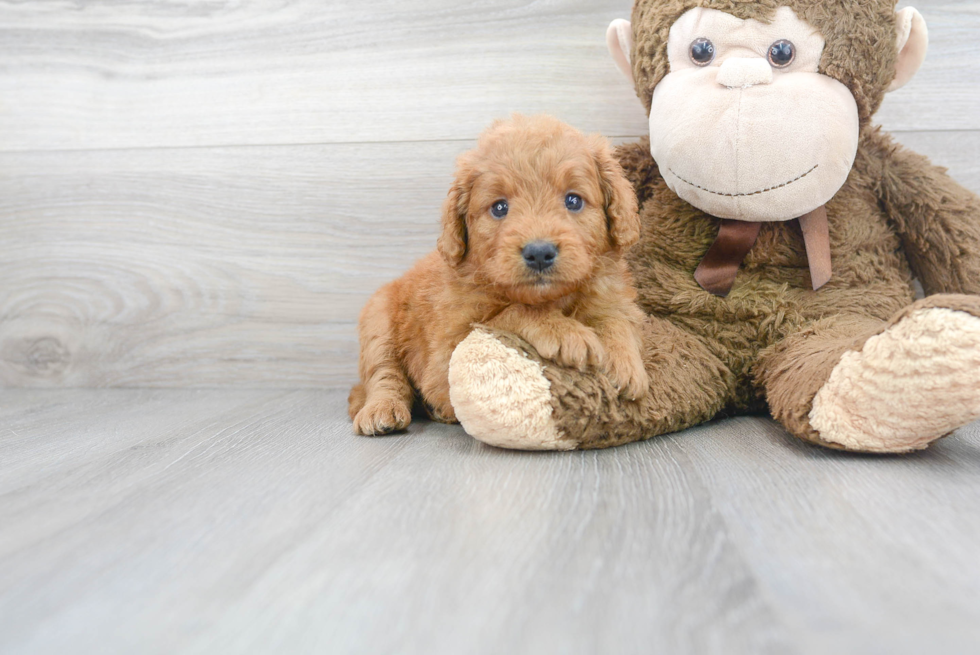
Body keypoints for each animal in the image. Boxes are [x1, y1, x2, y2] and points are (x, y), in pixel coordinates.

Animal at [350, 115, 652, 438]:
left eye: (573, 201)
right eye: (499, 207)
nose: (539, 253)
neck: (553, 298)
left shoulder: (613, 298)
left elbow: (615, 320)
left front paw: (624, 363)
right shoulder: (447, 353)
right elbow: (511, 313)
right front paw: (565, 333)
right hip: (377, 324)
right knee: (383, 375)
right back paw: (381, 410)